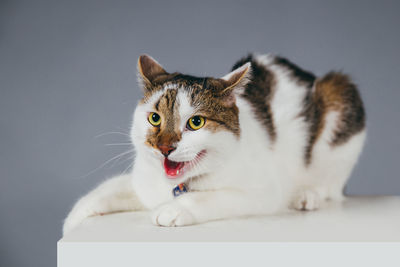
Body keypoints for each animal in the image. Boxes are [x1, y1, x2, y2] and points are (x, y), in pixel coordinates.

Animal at [62, 52, 366, 234]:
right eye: (154, 118)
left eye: (196, 122)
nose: (164, 148)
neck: (175, 186)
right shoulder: (143, 183)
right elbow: (109, 188)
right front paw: (76, 217)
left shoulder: (262, 191)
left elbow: (207, 196)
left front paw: (173, 210)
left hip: (339, 97)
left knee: (331, 187)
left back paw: (305, 195)